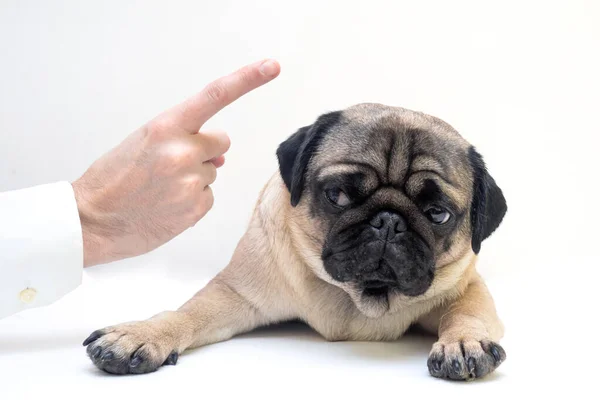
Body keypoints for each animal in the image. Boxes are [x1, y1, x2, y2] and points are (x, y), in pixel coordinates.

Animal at [83, 104, 506, 382]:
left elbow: (465, 311)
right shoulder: (237, 293)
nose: (389, 221)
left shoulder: (466, 286)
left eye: (438, 214)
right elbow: (189, 313)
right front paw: (143, 334)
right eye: (338, 195)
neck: (358, 299)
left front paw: (464, 342)